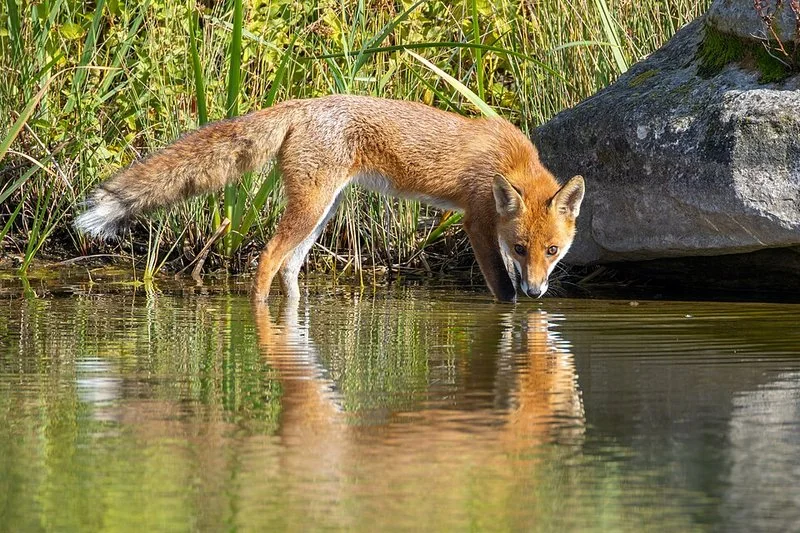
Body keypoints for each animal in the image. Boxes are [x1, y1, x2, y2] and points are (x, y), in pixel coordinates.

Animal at [75, 94, 585, 303]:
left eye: (552, 250)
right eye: (520, 247)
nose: (537, 291)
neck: (510, 160)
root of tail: (305, 103)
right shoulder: (477, 223)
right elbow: (502, 290)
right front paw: (517, 307)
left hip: (323, 212)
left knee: (289, 268)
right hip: (309, 209)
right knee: (267, 260)